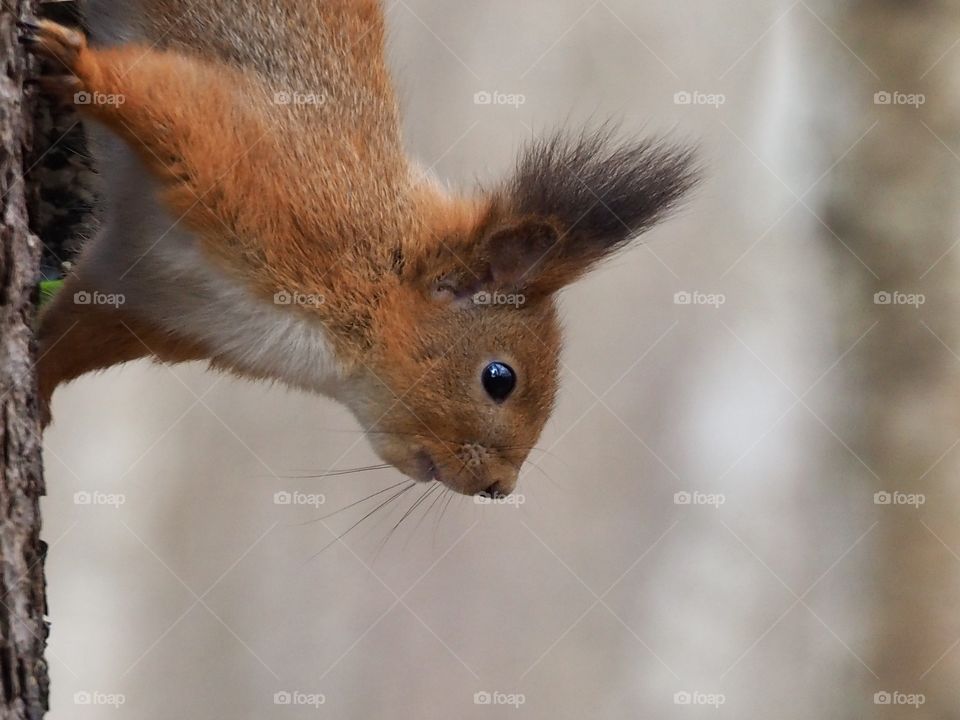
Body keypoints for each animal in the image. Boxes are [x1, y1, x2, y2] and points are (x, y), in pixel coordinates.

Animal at [23, 0, 698, 497]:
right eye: (498, 378)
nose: (498, 488)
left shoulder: (153, 297)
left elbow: (70, 335)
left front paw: (36, 391)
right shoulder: (261, 165)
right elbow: (165, 96)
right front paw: (78, 67)